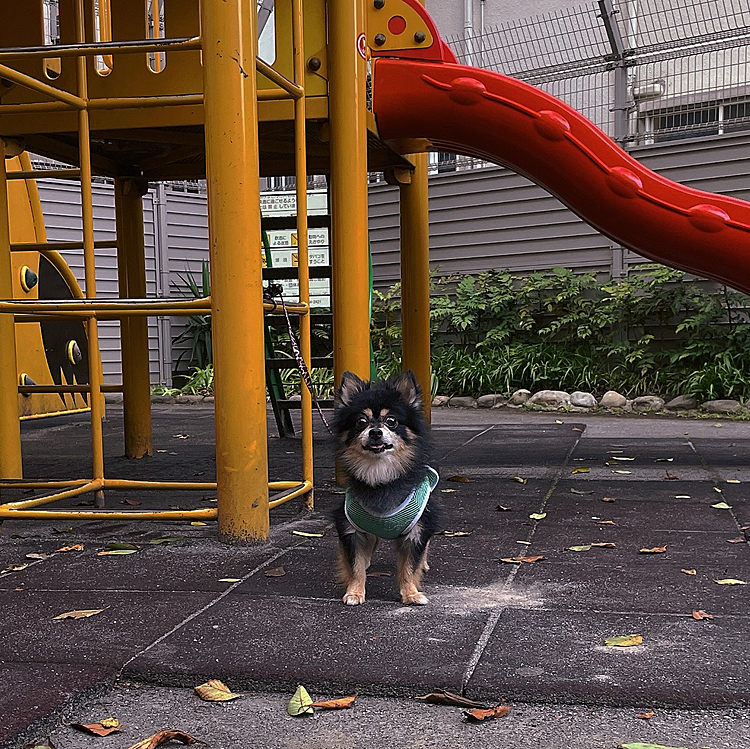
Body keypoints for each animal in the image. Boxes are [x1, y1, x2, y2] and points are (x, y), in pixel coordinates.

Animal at [330, 372, 440, 604]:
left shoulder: (418, 530)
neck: (380, 473)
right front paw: (355, 592)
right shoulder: (351, 528)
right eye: (361, 422)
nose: (375, 432)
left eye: (391, 421)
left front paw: (411, 593)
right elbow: (355, 565)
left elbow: (409, 567)